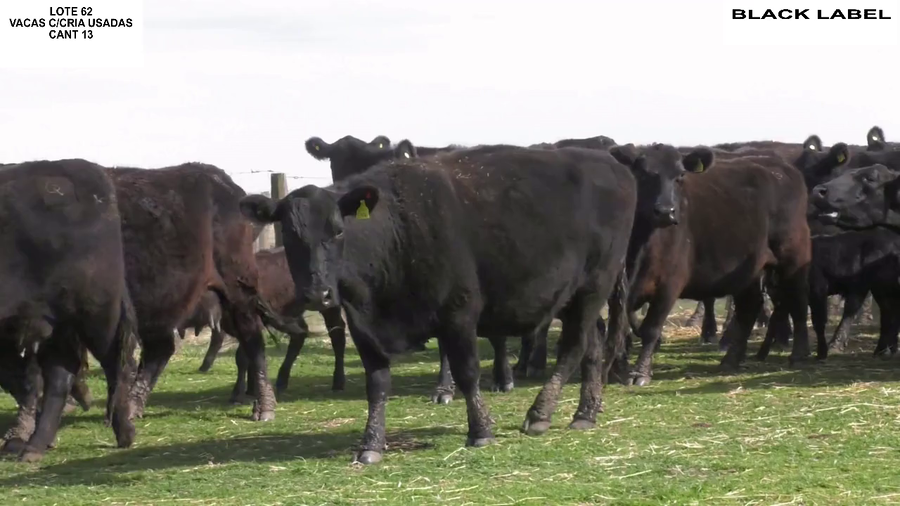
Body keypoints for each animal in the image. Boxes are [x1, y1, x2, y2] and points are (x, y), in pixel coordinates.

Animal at [0, 159, 137, 463]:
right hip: (55, 324)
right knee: (59, 377)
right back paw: (35, 446)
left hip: (95, 316)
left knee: (114, 365)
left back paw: (125, 432)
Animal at [241, 142, 636, 465]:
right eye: (291, 235)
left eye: (338, 230)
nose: (317, 293)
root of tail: (609, 162)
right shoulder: (363, 326)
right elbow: (377, 384)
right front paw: (371, 445)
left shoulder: (459, 312)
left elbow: (467, 372)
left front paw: (481, 431)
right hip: (576, 297)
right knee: (593, 346)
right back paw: (585, 413)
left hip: (594, 285)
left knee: (574, 346)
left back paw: (540, 414)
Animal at [607, 144, 813, 386]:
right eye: (643, 173)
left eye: (680, 176)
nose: (666, 211)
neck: (640, 246)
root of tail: (781, 167)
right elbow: (621, 327)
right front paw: (615, 369)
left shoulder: (670, 285)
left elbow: (650, 329)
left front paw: (640, 373)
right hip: (749, 271)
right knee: (749, 308)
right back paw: (731, 360)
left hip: (793, 259)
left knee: (798, 302)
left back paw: (799, 354)